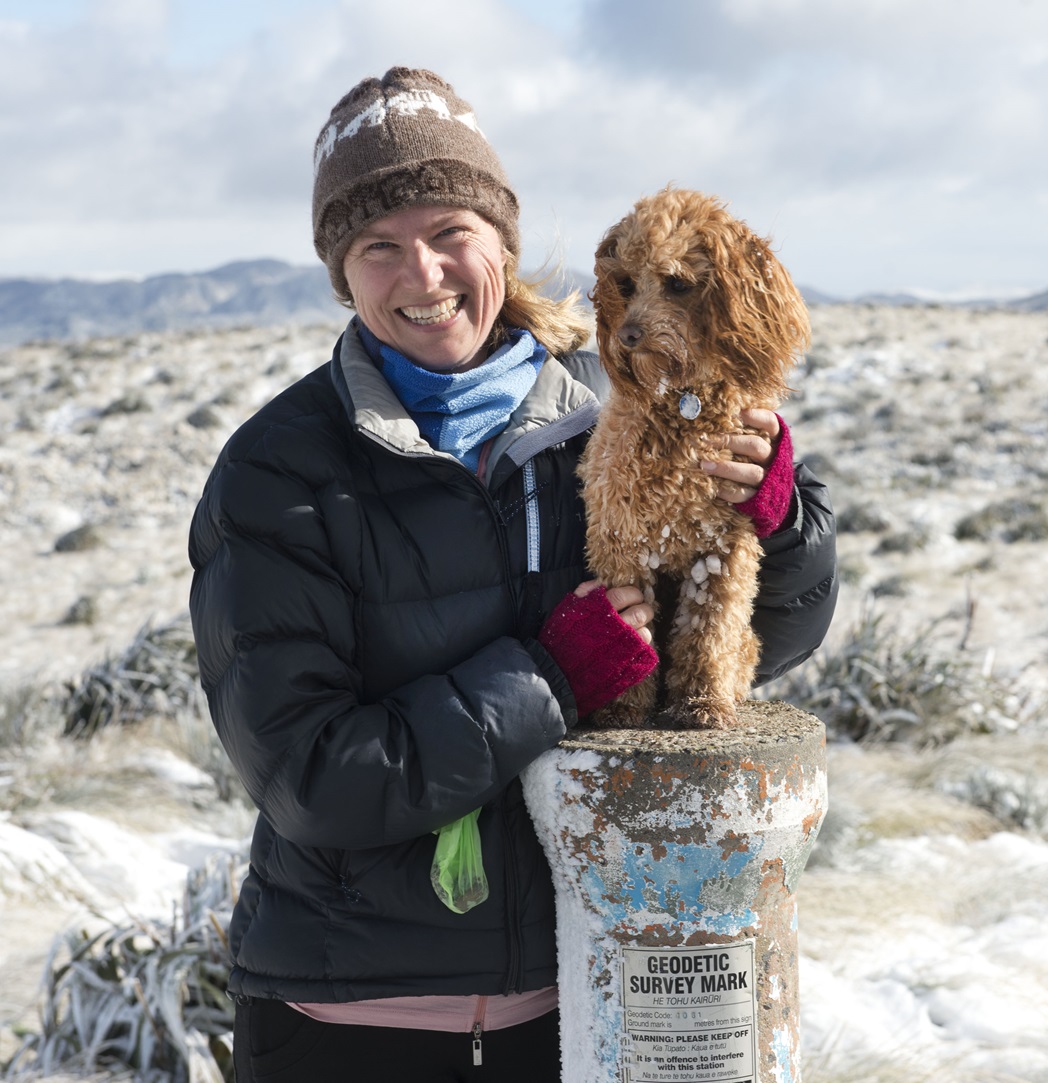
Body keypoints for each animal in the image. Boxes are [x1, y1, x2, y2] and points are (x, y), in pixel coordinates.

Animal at [580, 188, 809, 727]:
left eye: (678, 283)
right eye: (625, 282)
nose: (628, 335)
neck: (683, 401)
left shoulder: (725, 549)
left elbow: (708, 632)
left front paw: (702, 703)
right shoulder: (621, 540)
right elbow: (633, 631)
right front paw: (622, 709)